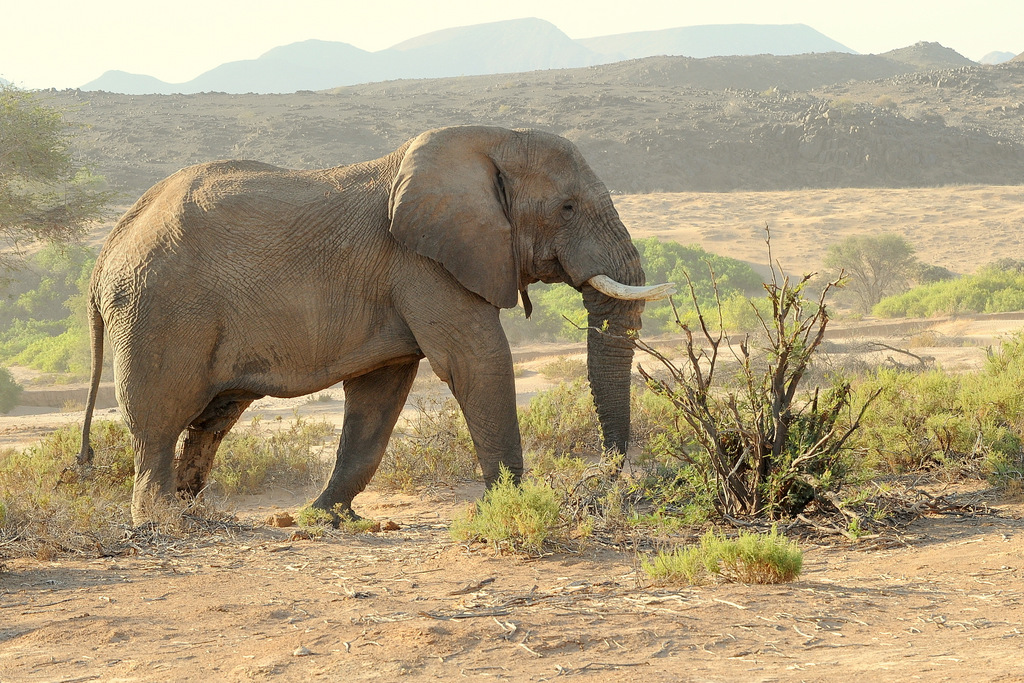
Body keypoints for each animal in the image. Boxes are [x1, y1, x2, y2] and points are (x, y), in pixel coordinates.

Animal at [77, 124, 671, 524]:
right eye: (567, 207)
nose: (600, 478)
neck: (489, 143)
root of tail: (109, 247)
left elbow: (380, 391)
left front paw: (322, 518)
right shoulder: (423, 262)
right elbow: (475, 363)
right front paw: (511, 506)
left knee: (211, 420)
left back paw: (194, 511)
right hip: (157, 310)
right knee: (159, 420)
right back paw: (164, 522)